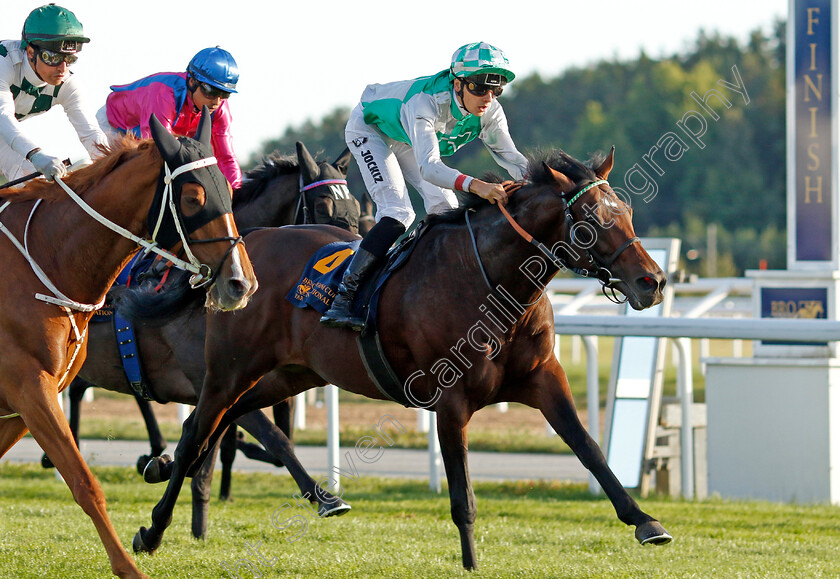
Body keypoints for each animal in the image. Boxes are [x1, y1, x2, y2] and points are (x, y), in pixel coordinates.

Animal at [0, 110, 256, 579]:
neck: (48, 259)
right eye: (192, 198)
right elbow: (84, 482)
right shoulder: (28, 388)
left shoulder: (27, 399)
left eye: (228, 191)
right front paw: (129, 565)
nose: (240, 283)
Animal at [49, 142, 358, 540]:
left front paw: (179, 481)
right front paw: (325, 497)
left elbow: (236, 443)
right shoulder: (214, 381)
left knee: (80, 390)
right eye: (323, 206)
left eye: (355, 209)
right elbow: (274, 436)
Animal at [135, 147, 672, 568]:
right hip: (231, 369)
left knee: (213, 427)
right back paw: (152, 529)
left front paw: (646, 522)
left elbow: (590, 448)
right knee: (197, 435)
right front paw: (471, 564)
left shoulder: (544, 377)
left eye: (625, 211)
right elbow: (462, 494)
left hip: (288, 374)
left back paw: (166, 474)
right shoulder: (451, 399)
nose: (653, 281)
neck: (494, 285)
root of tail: (242, 252)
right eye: (591, 222)